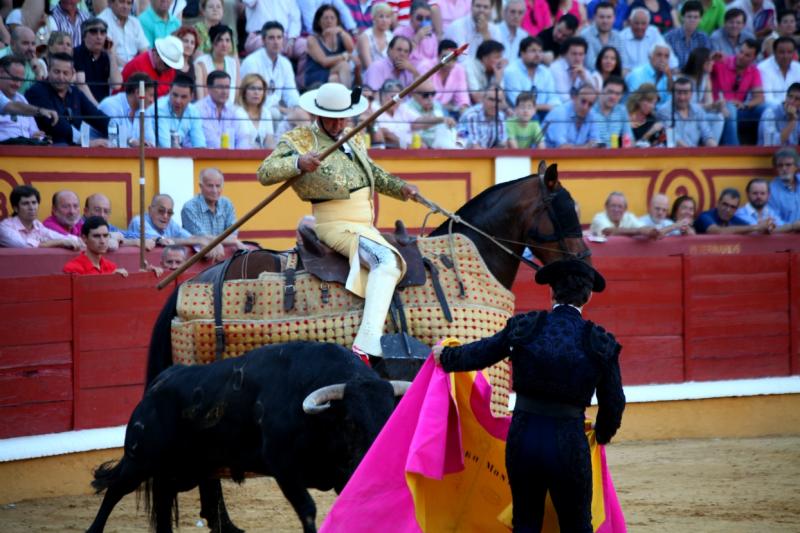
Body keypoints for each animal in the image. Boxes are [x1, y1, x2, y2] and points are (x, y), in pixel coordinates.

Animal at [87, 340, 410, 532]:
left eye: (391, 418)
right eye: (351, 423)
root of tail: (158, 383)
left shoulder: (344, 473)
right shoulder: (283, 467)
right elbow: (308, 509)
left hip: (184, 469)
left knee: (164, 498)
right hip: (140, 459)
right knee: (115, 490)